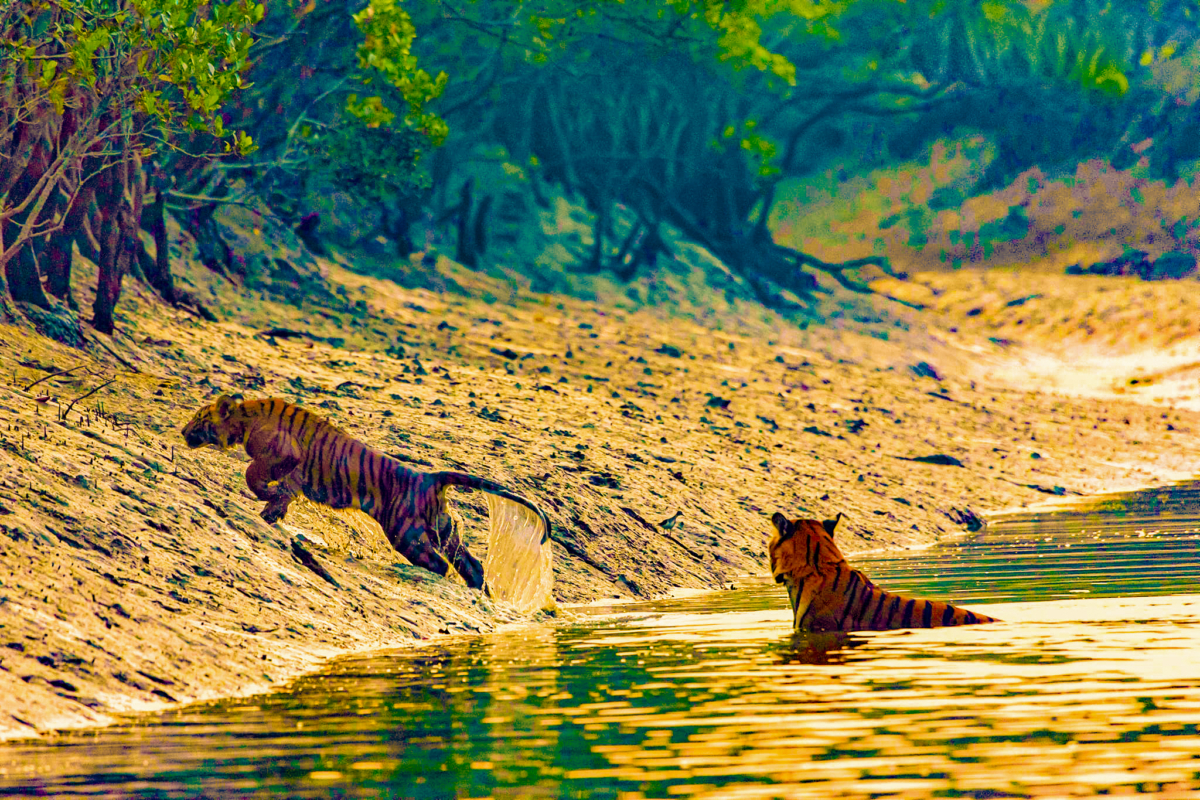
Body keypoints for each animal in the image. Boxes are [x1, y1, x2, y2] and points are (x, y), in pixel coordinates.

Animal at [180, 395, 549, 594]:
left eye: (199, 417)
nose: (182, 431)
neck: (246, 418)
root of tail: (430, 476)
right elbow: (279, 496)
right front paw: (271, 513)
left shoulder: (284, 456)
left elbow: (253, 476)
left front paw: (264, 498)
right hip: (443, 530)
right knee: (471, 564)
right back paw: (479, 592)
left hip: (405, 533)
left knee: (440, 564)